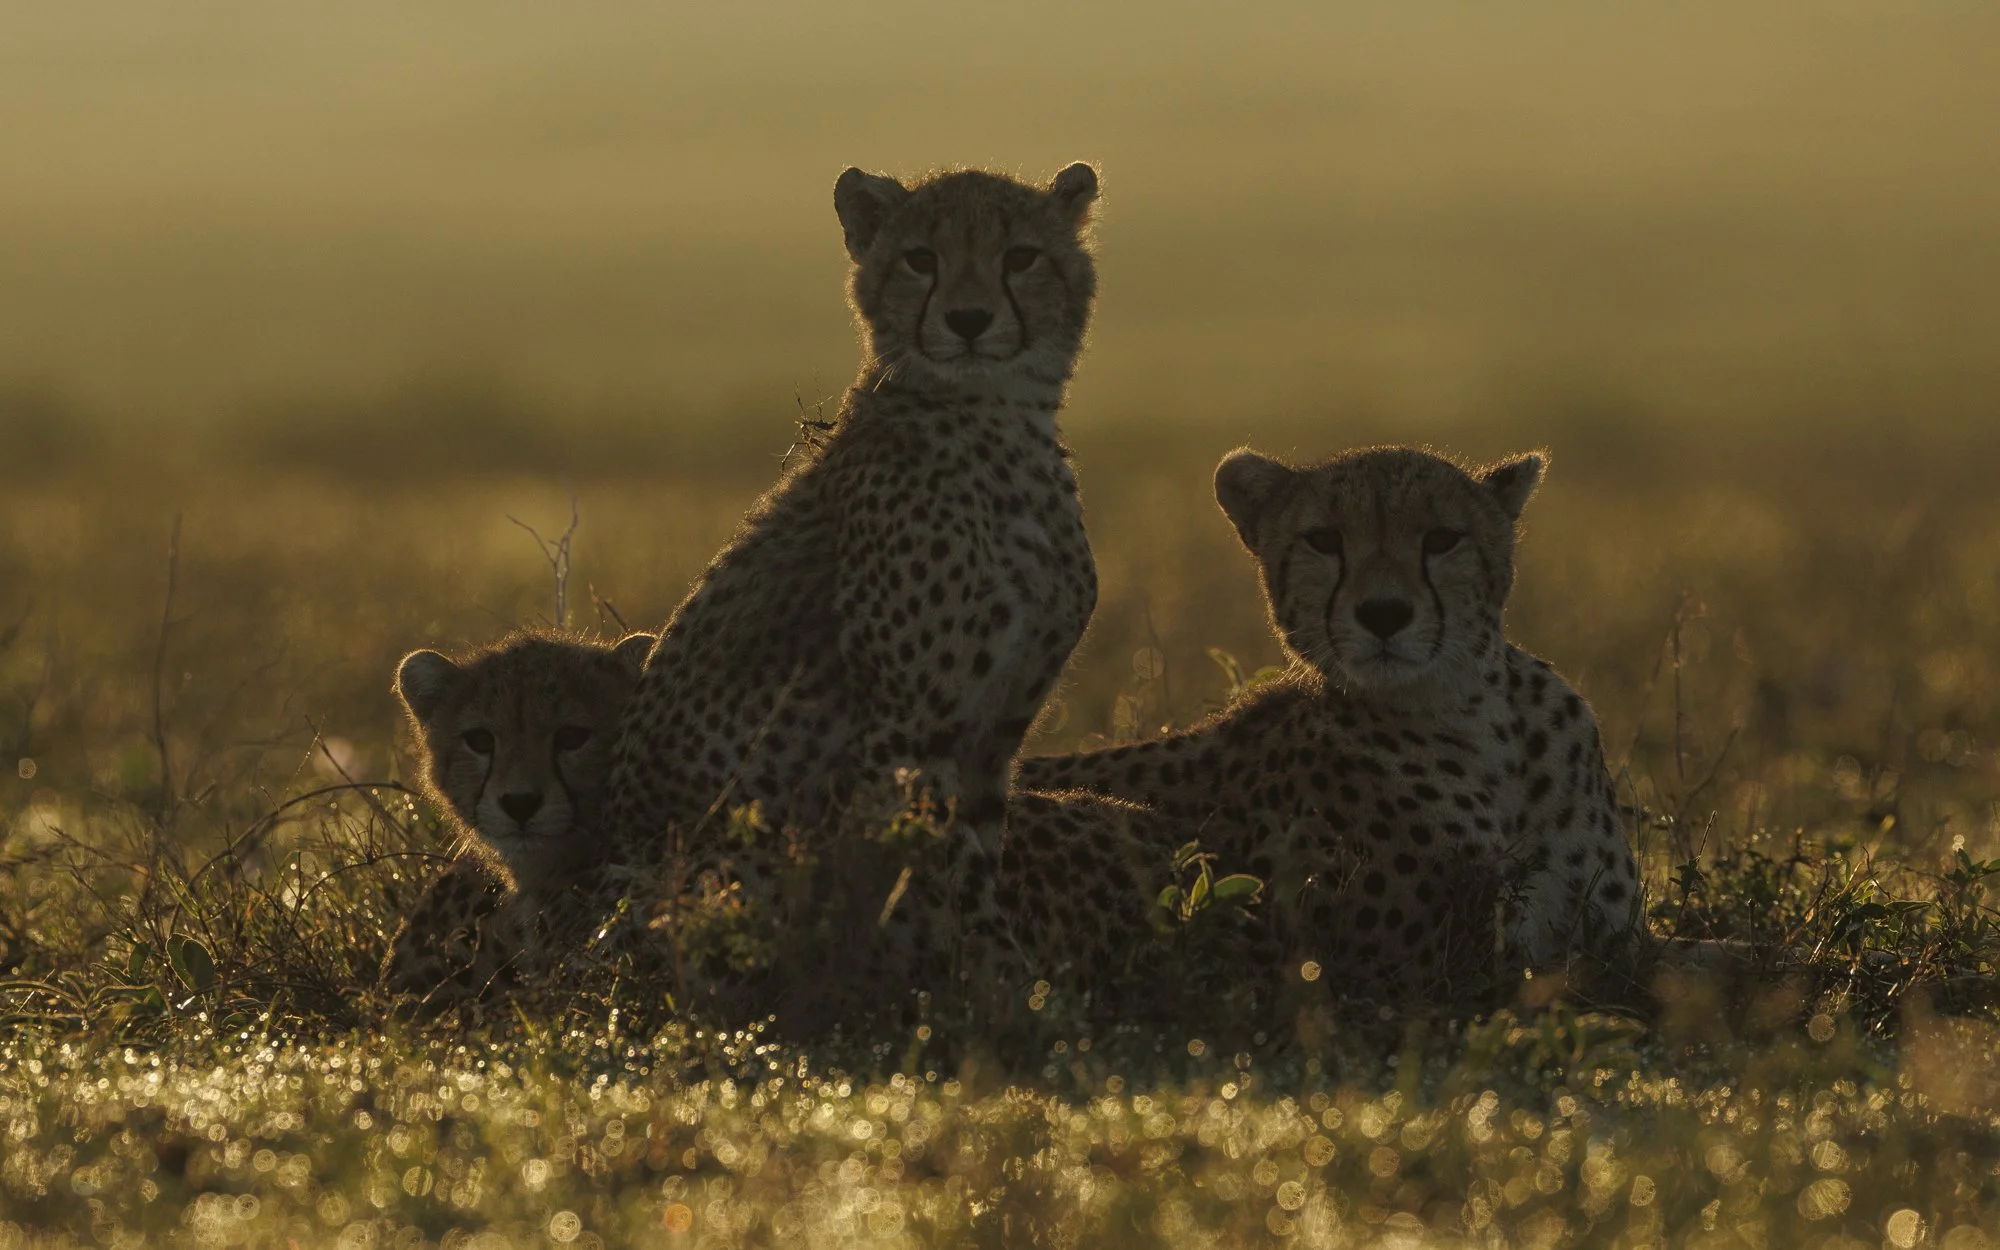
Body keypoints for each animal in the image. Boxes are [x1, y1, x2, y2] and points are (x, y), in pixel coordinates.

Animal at [601, 162, 1106, 1001]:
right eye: (921, 259)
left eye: (1021, 257)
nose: (969, 320)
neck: (1000, 426)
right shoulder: (906, 733)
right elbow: (955, 882)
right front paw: (1014, 996)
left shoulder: (993, 734)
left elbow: (960, 871)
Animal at [1016, 444, 1645, 997]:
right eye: (1324, 541)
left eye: (1442, 539)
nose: (1384, 613)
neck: (1475, 714)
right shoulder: (1437, 972)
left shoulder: (1610, 938)